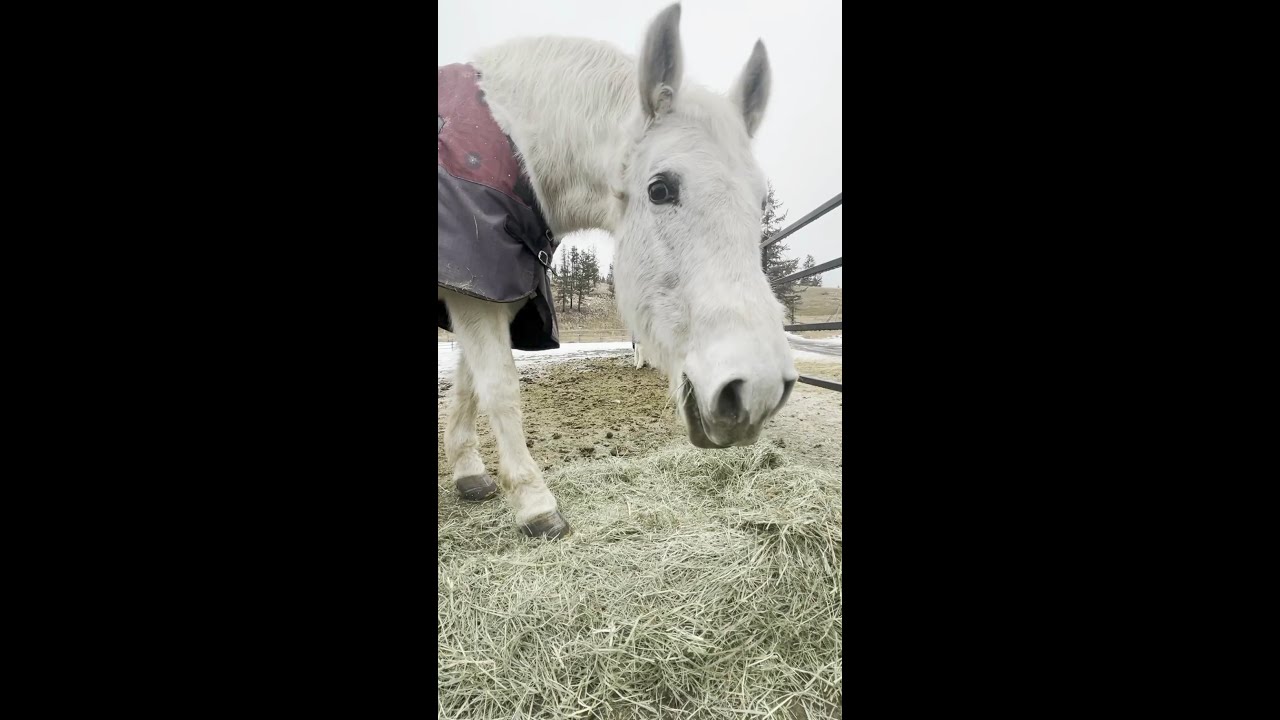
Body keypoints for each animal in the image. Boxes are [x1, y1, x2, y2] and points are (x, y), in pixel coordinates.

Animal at [438, 3, 799, 539]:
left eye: (759, 202)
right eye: (660, 189)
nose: (757, 389)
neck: (504, 140)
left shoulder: (490, 289)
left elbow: (469, 385)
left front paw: (469, 474)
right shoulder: (474, 288)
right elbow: (499, 387)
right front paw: (535, 504)